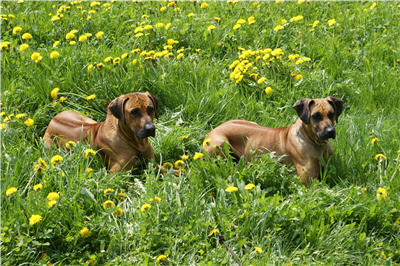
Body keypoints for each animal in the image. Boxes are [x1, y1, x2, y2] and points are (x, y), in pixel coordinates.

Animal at [203, 96, 344, 186]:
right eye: (316, 116)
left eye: (331, 114)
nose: (330, 131)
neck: (315, 143)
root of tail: (212, 131)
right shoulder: (308, 180)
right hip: (221, 144)